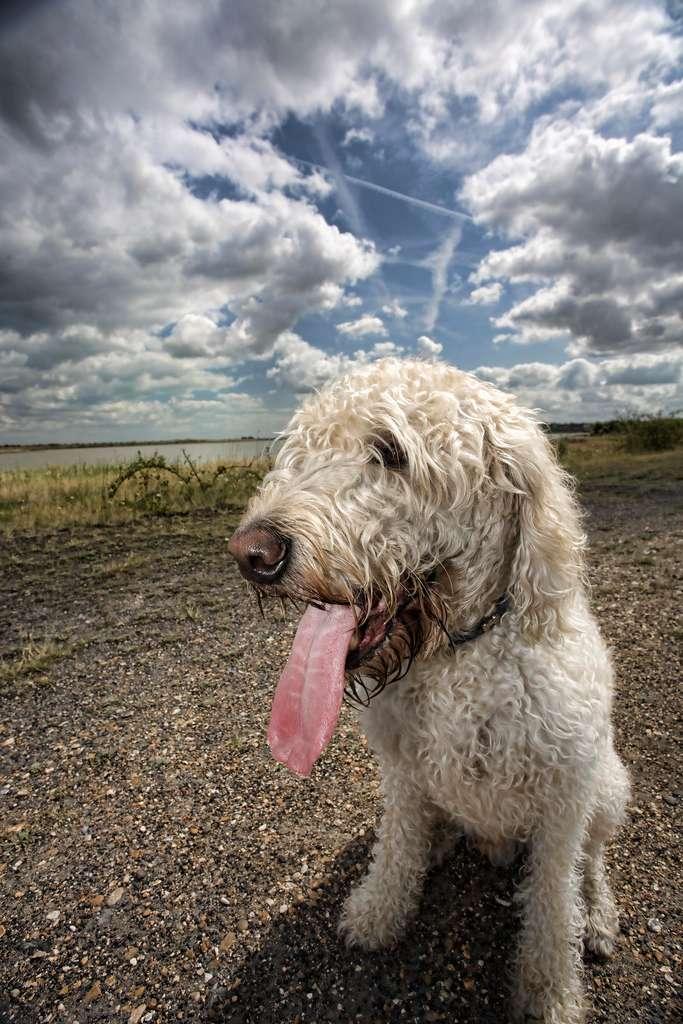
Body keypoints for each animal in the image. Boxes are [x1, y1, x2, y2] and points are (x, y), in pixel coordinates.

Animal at [228, 360, 630, 1024]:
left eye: (391, 452)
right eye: (302, 448)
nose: (251, 553)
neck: (459, 655)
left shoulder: (563, 803)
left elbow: (552, 905)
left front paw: (550, 992)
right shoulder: (404, 774)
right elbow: (396, 850)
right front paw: (378, 913)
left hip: (608, 789)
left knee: (591, 864)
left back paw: (596, 917)